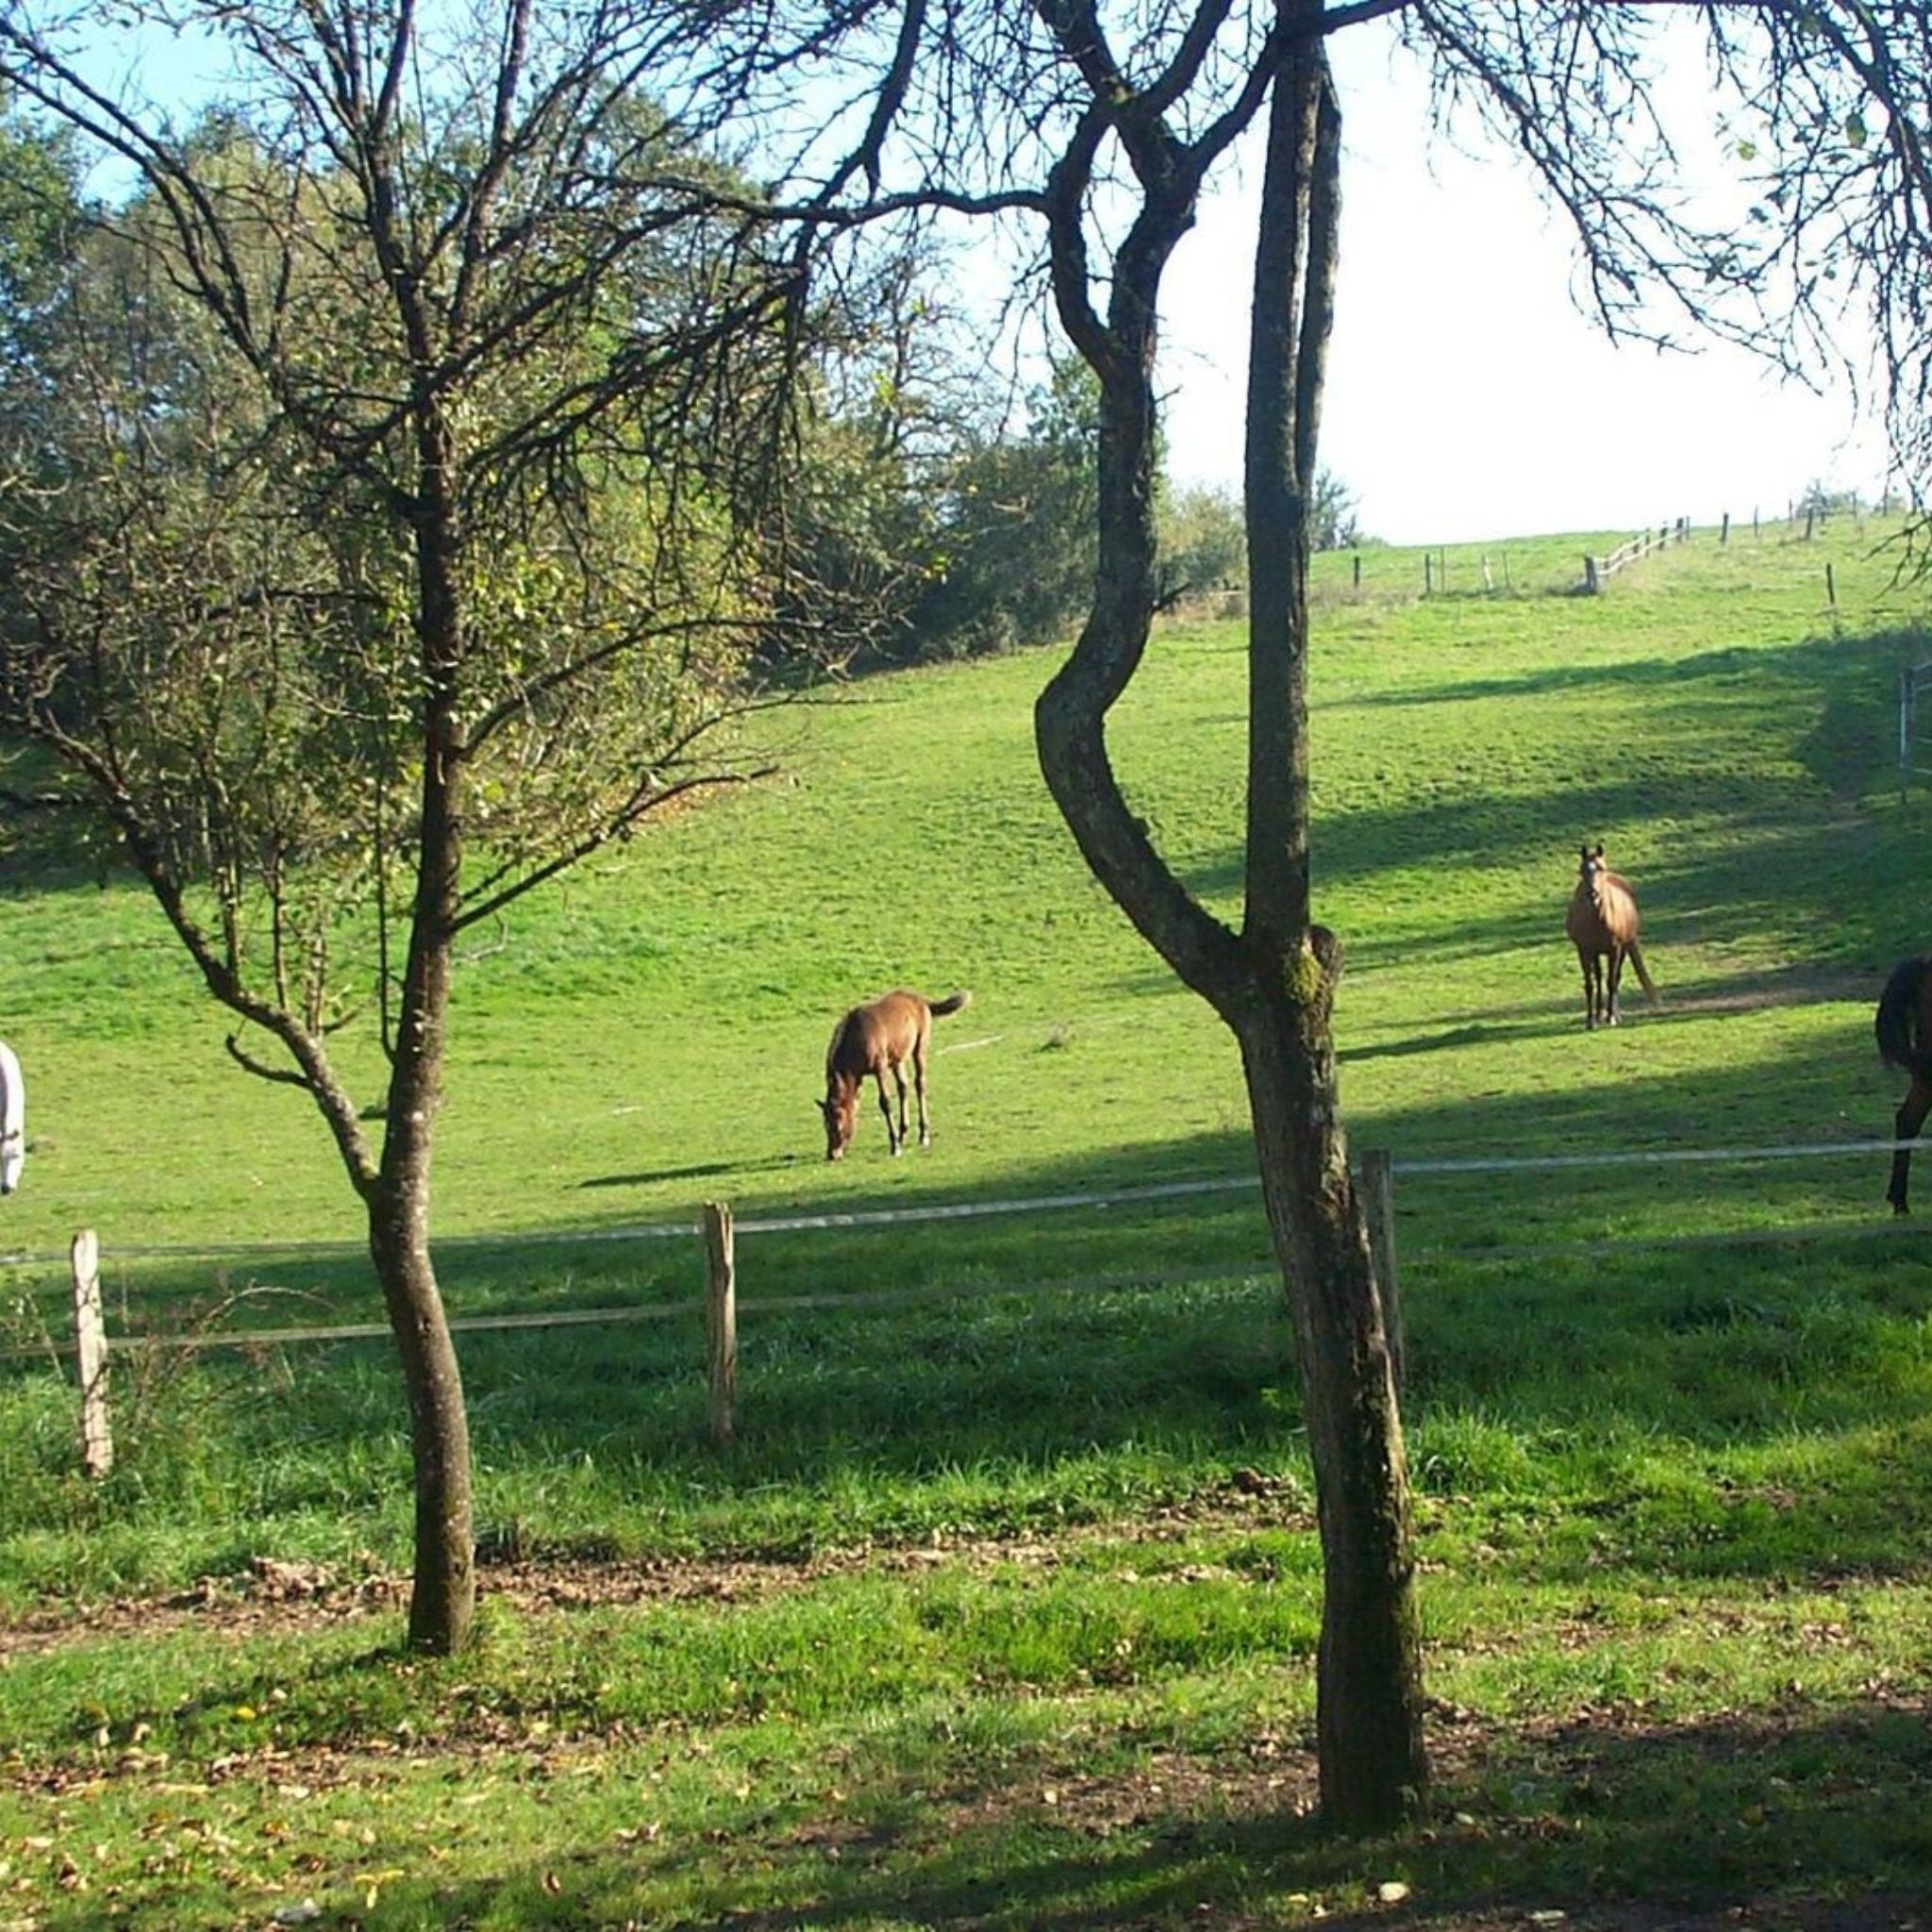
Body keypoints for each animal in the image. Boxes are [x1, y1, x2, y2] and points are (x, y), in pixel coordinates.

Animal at [819, 989, 974, 1151]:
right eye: (825, 1126)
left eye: (837, 1125)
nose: (832, 1154)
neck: (858, 1038)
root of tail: (922, 1000)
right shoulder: (857, 1078)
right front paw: (897, 1140)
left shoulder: (880, 1069)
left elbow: (885, 1102)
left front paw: (895, 1145)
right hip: (898, 1059)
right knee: (903, 1087)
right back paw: (903, 1134)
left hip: (919, 1050)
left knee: (919, 1084)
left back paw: (923, 1134)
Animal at [1560, 841, 1654, 1027]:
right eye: (1581, 870)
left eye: (1601, 868)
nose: (1593, 893)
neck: (1598, 920)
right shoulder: (1584, 950)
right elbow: (1590, 984)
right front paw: (1590, 1020)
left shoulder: (1614, 949)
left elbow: (1611, 981)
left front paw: (1611, 1017)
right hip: (1596, 953)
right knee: (1598, 977)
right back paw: (1598, 1014)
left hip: (1623, 949)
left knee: (1615, 978)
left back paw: (1615, 1014)